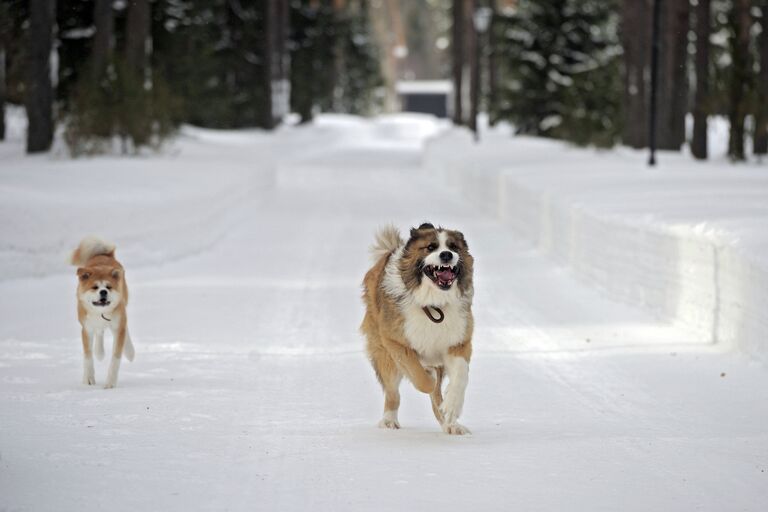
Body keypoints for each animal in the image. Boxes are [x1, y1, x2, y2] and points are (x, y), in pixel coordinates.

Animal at [70, 236, 135, 388]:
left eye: (108, 287)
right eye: (94, 287)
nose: (103, 292)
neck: (101, 312)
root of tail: (104, 254)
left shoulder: (118, 326)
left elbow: (115, 358)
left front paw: (110, 382)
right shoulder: (86, 329)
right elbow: (88, 356)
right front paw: (88, 379)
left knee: (123, 329)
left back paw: (129, 352)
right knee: (99, 332)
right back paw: (99, 352)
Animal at [360, 222, 474, 434]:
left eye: (454, 247)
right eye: (430, 247)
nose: (447, 255)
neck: (432, 303)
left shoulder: (458, 341)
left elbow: (461, 375)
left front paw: (452, 406)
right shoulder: (395, 341)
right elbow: (420, 377)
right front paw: (428, 377)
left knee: (436, 398)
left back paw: (451, 424)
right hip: (383, 352)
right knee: (393, 393)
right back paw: (389, 420)